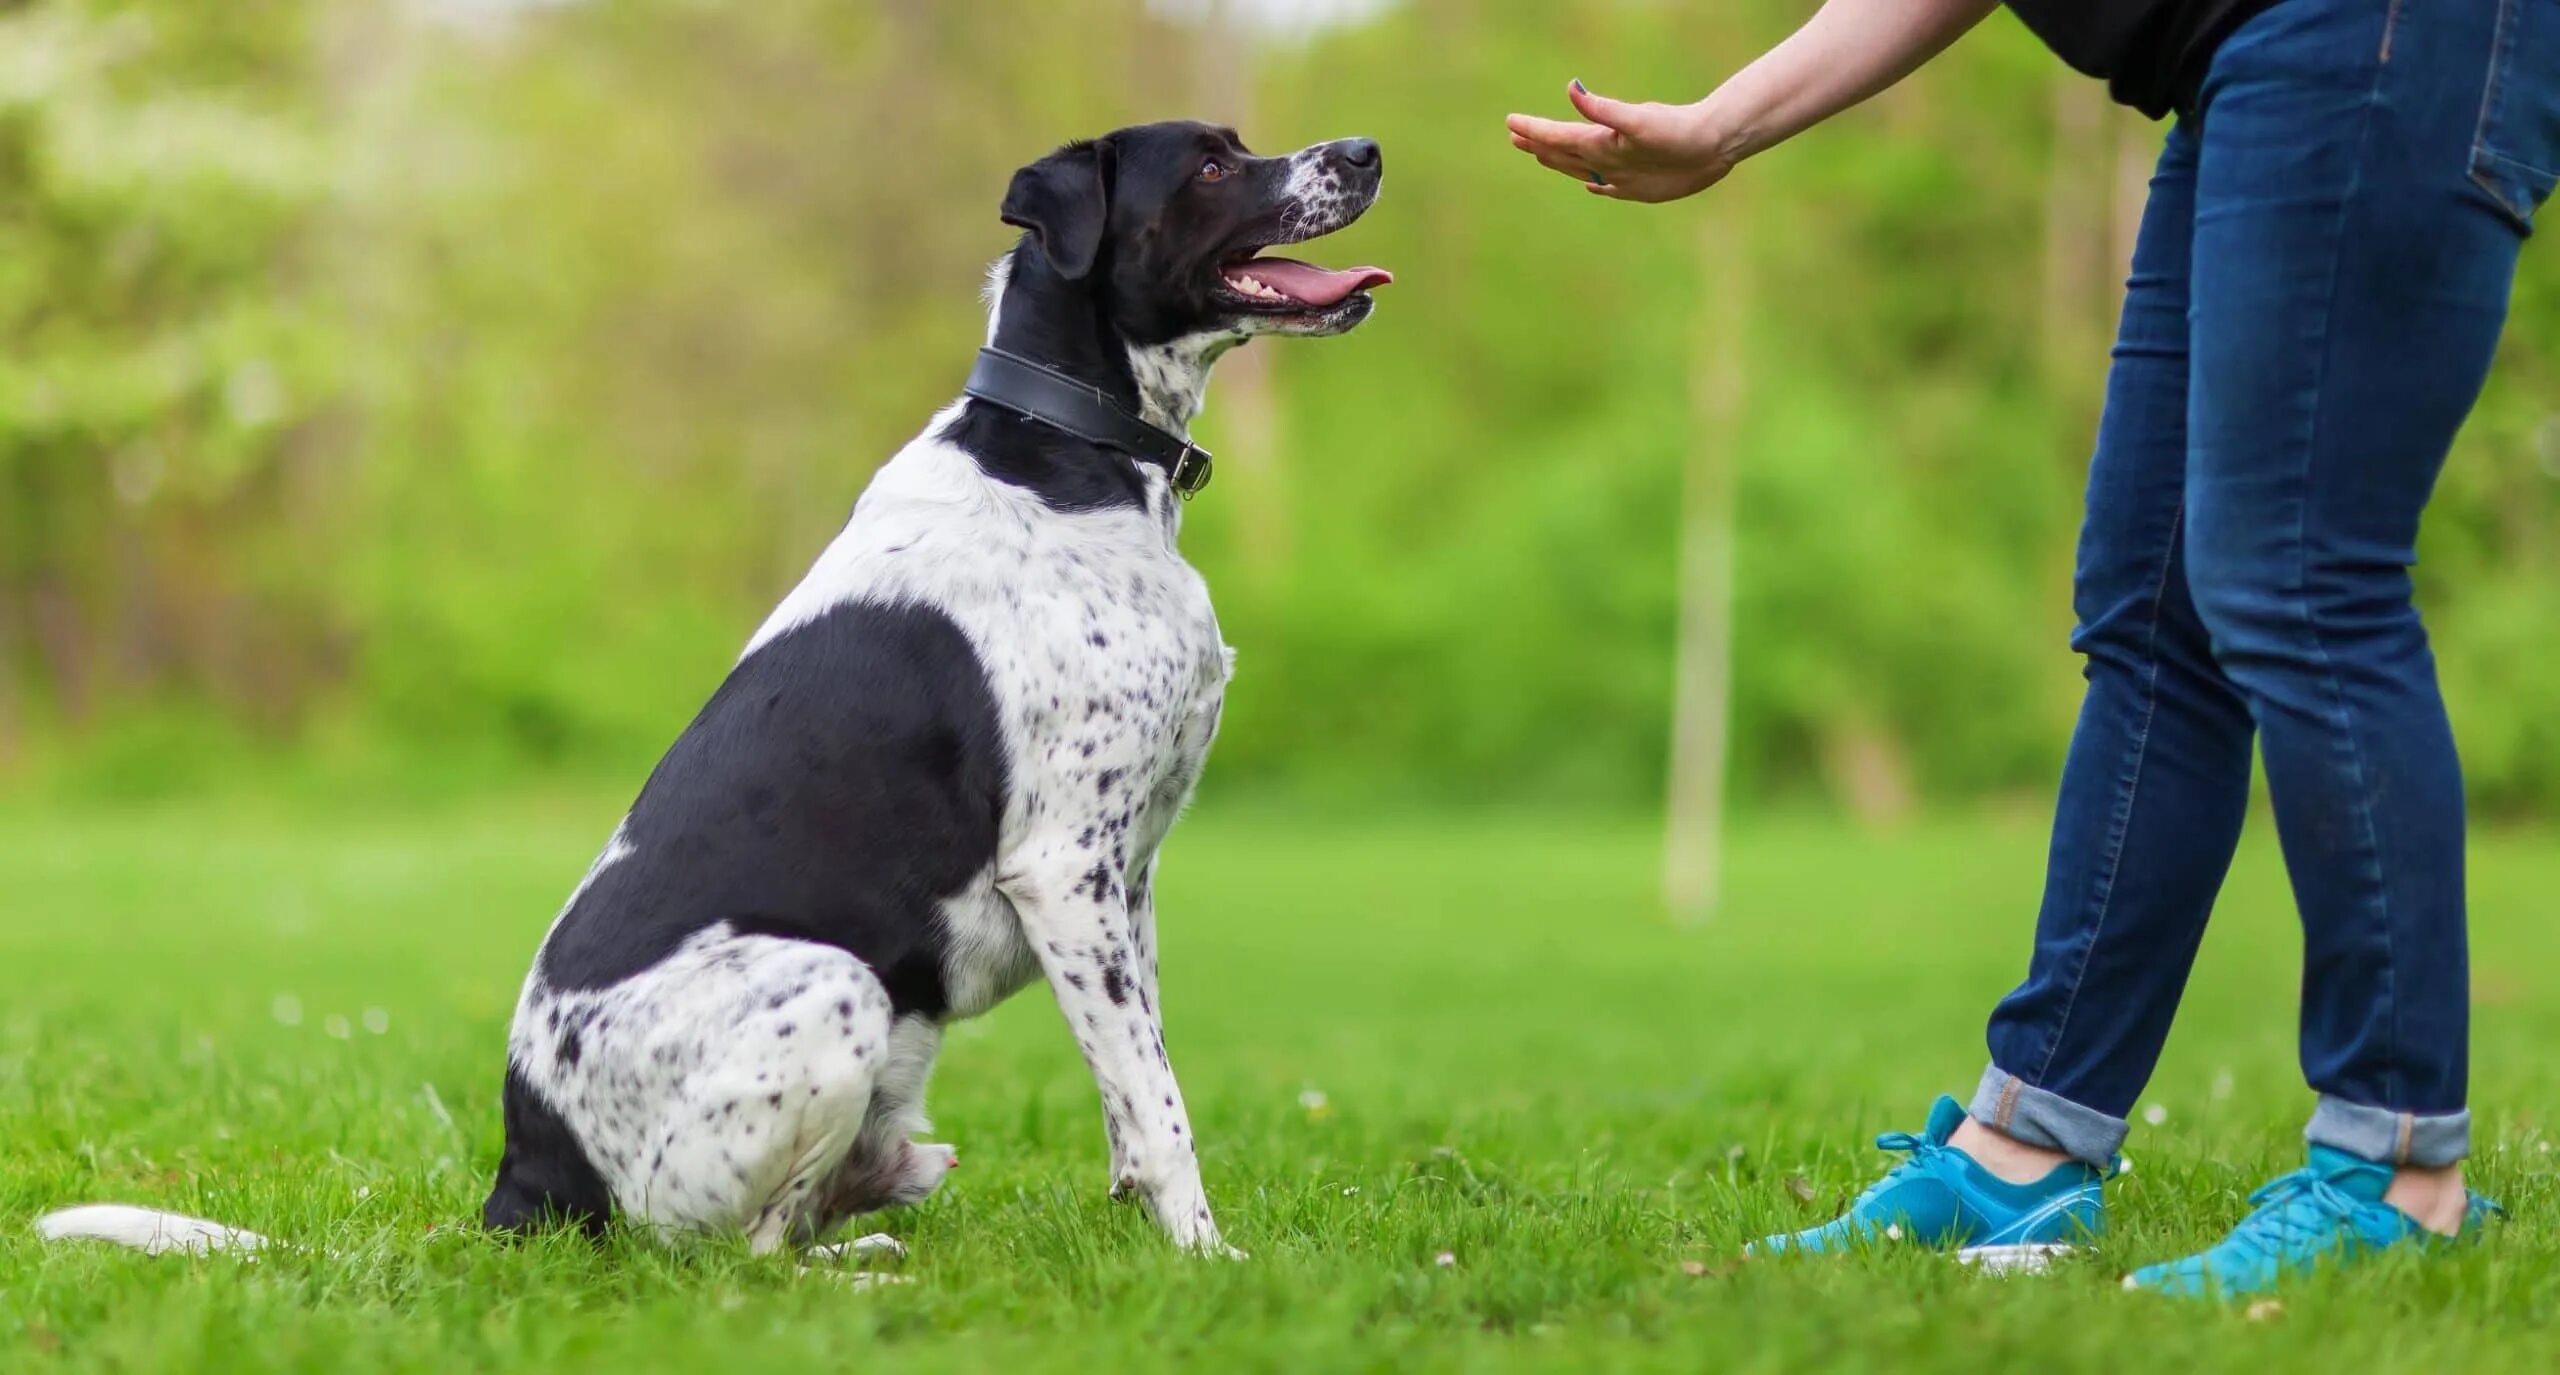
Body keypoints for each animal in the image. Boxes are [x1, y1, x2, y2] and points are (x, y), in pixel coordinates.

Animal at [30, 120, 1392, 1264]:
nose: (1365, 149)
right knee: (733, 1257)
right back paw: (852, 1263)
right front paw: (1205, 1261)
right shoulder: (1065, 868)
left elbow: (1130, 1088)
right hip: (833, 988)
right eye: (1211, 164)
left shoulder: (1125, 878)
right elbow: (1160, 1107)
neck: (1068, 454)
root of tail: (522, 1187)